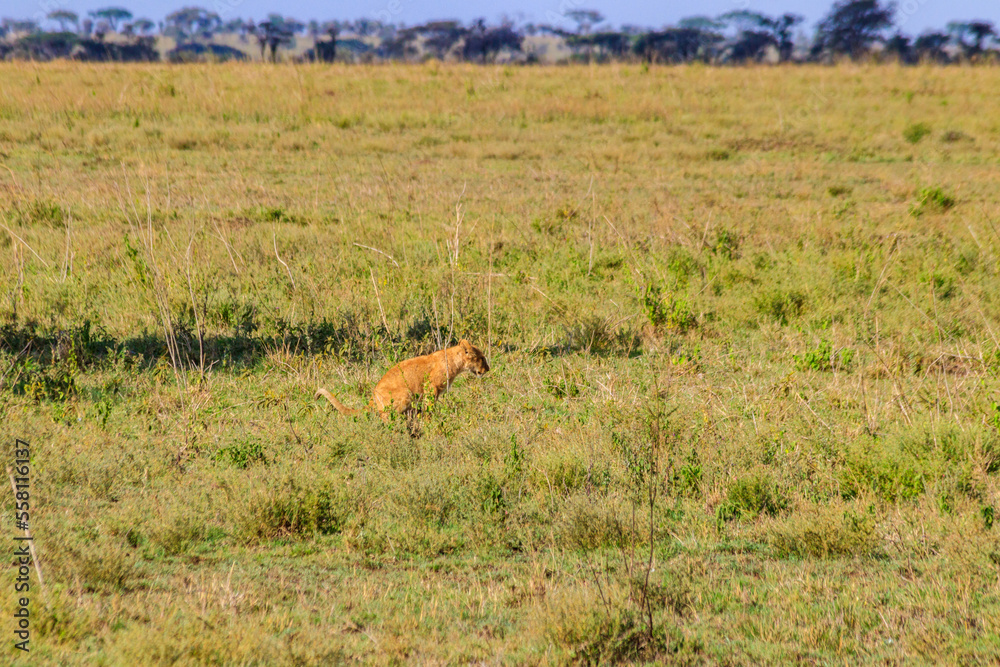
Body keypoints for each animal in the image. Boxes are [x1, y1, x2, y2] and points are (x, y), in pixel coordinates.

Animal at [315, 339, 490, 421]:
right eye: (481, 358)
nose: (487, 369)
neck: (455, 362)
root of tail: (373, 397)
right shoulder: (431, 387)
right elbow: (430, 408)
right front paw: (430, 420)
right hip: (405, 394)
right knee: (386, 417)